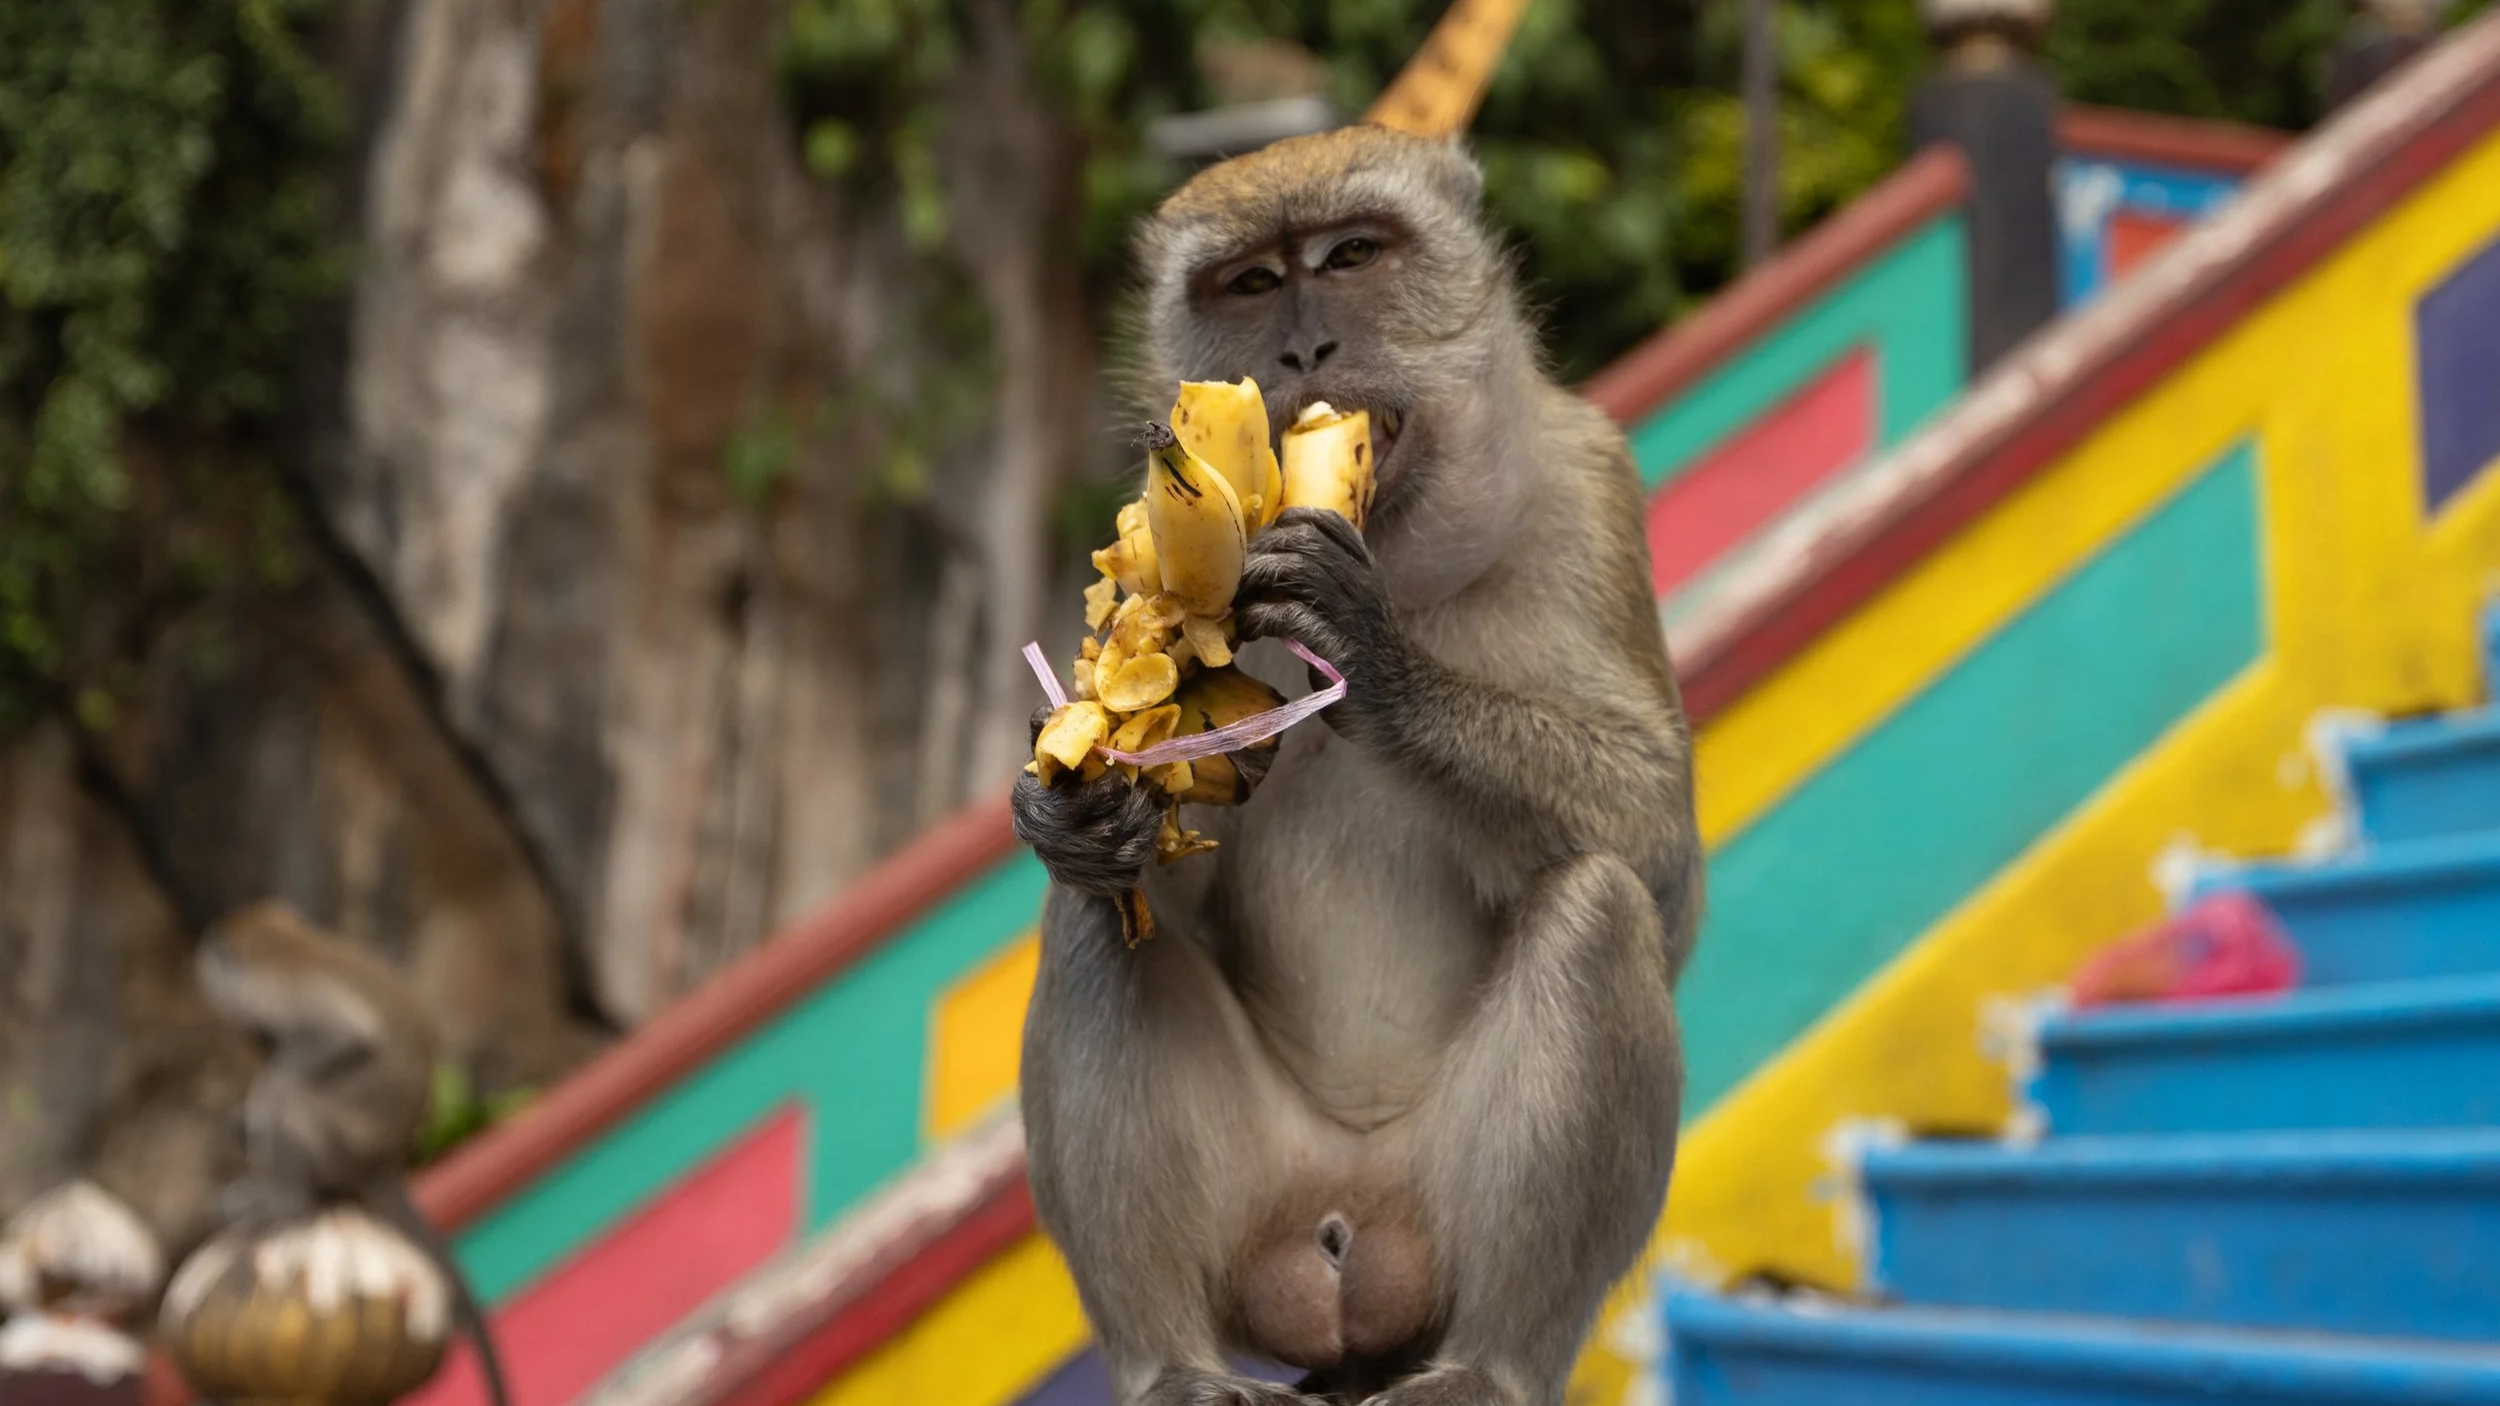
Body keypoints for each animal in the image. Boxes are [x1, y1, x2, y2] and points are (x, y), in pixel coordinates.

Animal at [193, 902, 514, 1406]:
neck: (277, 939)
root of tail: (384, 1162)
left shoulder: (280, 993)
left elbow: (343, 1038)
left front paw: (268, 1086)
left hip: (341, 1147)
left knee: (293, 1102)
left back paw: (285, 1199)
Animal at [1010, 124, 1702, 1406]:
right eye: (1247, 283)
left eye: (1349, 256)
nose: (1303, 347)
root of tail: (1344, 1230)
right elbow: (1150, 871)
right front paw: (1070, 806)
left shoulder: (1589, 487)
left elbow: (1657, 854)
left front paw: (1371, 656)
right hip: (1263, 1197)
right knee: (1091, 922)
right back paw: (1169, 1362)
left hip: (1422, 1210)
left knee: (1598, 905)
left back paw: (1491, 1364)